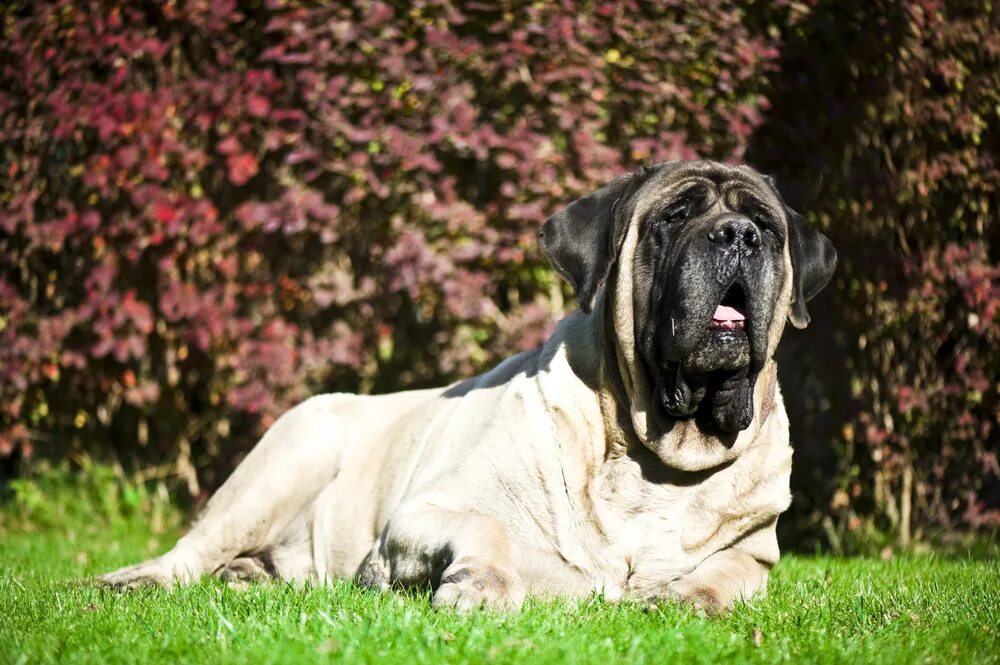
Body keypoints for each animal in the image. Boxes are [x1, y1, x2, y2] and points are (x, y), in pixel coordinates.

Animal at [99, 160, 836, 612]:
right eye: (674, 218)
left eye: (767, 227)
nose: (736, 234)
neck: (651, 452)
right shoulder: (425, 511)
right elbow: (488, 529)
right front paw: (480, 586)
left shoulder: (755, 553)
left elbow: (730, 574)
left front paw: (691, 598)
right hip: (291, 452)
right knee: (193, 548)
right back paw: (137, 579)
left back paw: (249, 575)